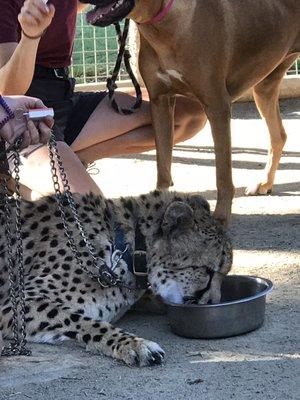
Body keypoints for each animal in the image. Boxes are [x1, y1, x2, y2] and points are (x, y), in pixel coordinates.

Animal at [85, 0, 300, 225]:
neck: (164, 25)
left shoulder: (217, 106)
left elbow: (223, 175)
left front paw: (220, 217)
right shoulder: (160, 103)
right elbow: (163, 166)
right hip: (265, 86)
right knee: (279, 136)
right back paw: (265, 182)